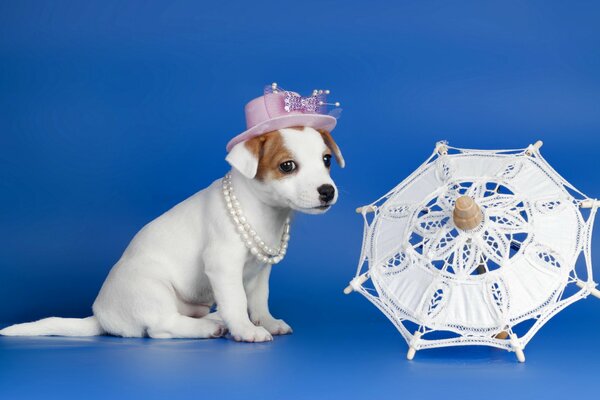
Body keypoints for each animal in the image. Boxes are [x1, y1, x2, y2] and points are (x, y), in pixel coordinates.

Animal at [0, 83, 344, 342]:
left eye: (326, 160)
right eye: (287, 166)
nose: (327, 191)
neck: (261, 210)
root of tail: (101, 317)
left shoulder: (259, 274)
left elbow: (258, 300)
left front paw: (266, 322)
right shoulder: (223, 265)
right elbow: (236, 301)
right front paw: (246, 330)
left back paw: (213, 318)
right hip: (151, 287)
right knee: (160, 327)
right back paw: (209, 327)